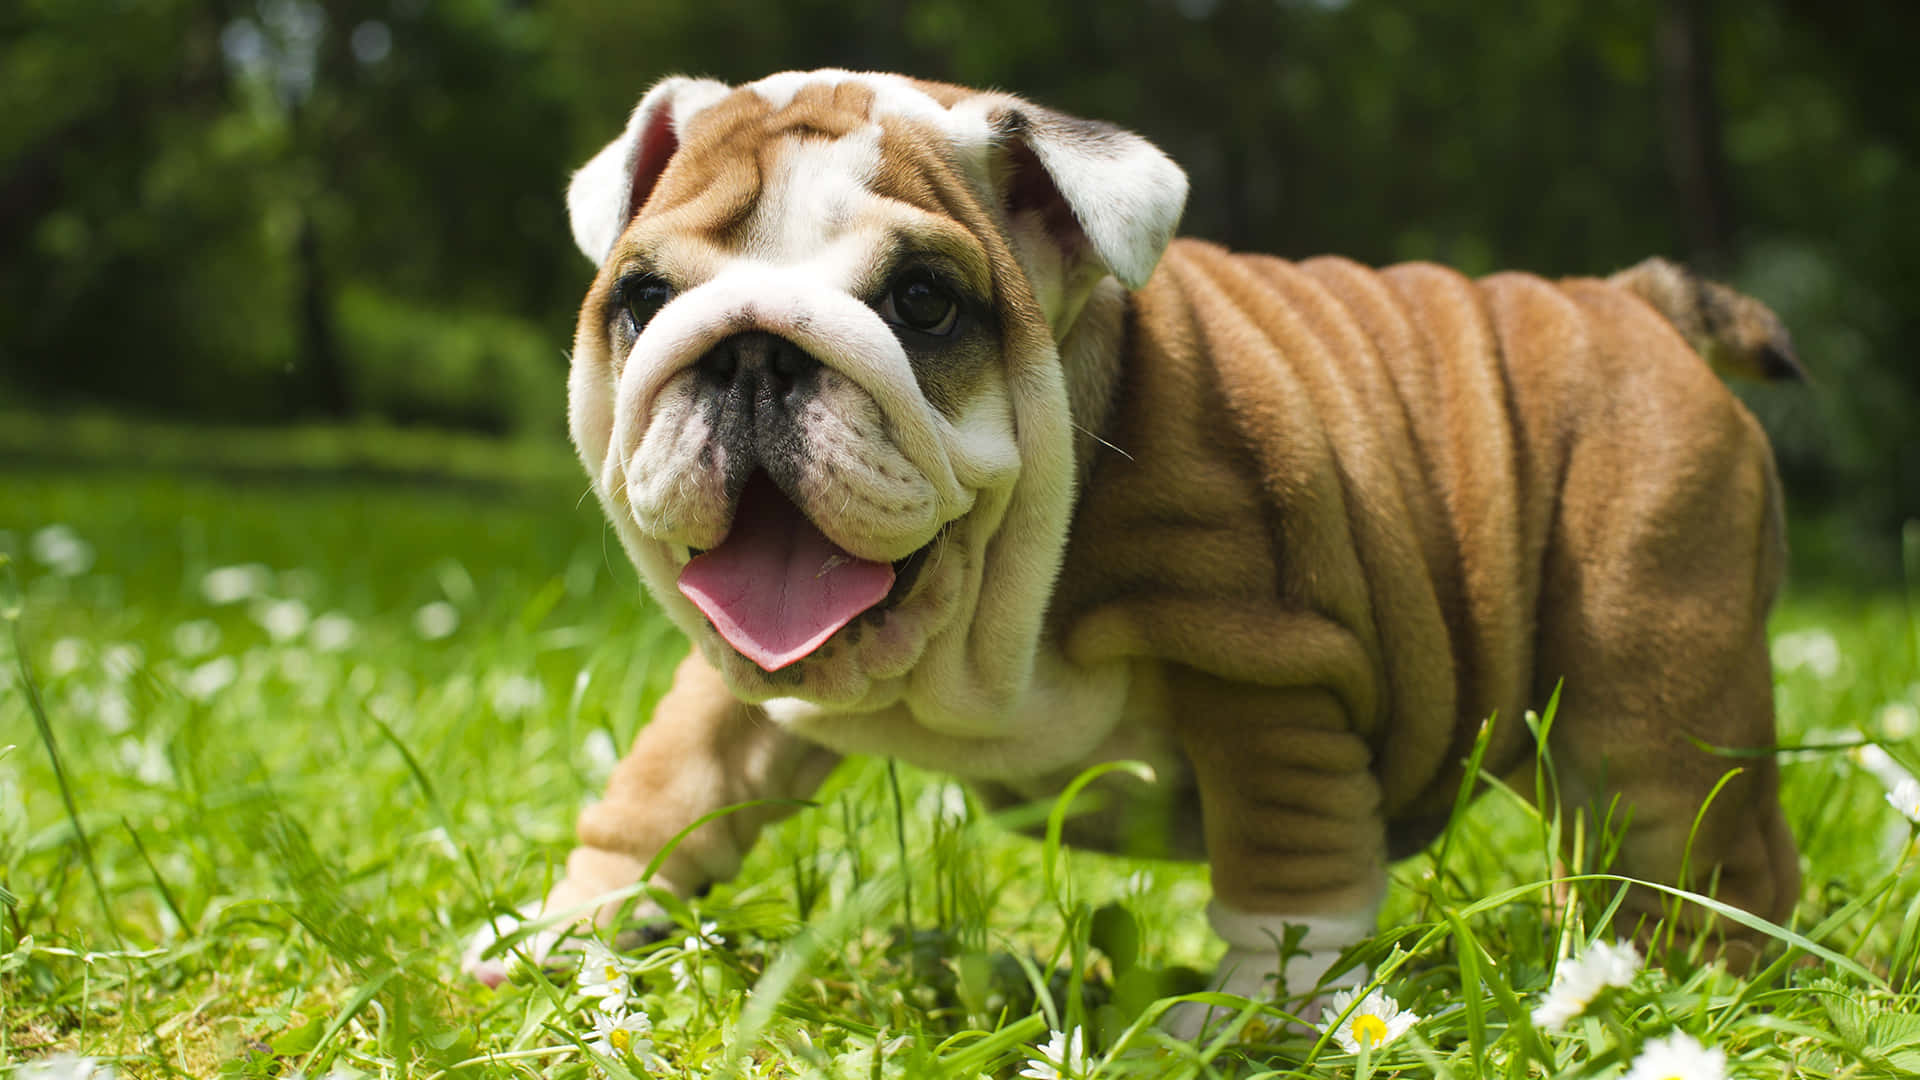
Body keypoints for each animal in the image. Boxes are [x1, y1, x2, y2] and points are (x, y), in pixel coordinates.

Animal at [460, 65, 1797, 1014]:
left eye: (924, 302)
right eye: (644, 299)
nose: (748, 351)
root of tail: (1635, 302)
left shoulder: (1269, 680)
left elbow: (1289, 883)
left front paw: (1258, 1022)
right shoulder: (739, 682)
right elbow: (666, 789)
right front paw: (566, 931)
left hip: (1650, 678)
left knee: (1702, 851)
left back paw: (1666, 995)